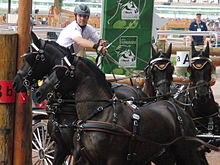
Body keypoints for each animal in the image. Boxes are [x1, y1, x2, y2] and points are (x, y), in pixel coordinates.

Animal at [34, 54, 206, 164]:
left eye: (61, 71)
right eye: (52, 68)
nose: (39, 92)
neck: (100, 114)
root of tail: (177, 109)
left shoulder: (114, 159)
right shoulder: (82, 157)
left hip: (186, 152)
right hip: (164, 155)